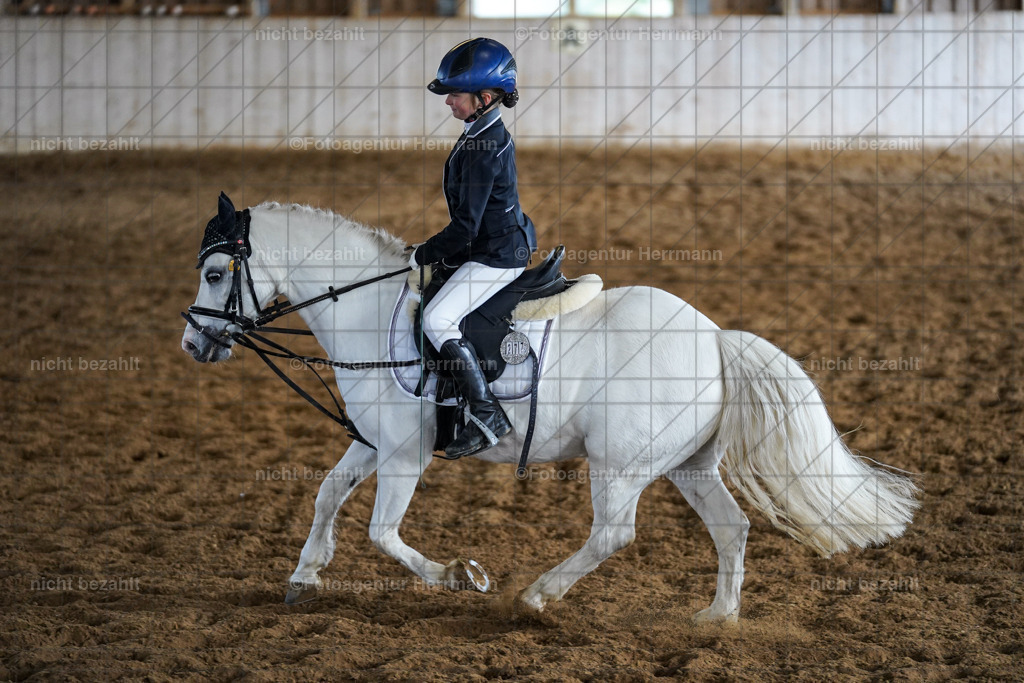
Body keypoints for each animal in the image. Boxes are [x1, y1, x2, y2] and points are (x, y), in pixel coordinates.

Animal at [181, 196, 919, 623]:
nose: (193, 343)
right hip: (686, 463)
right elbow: (327, 495)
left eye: (216, 273)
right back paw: (716, 618)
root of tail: (714, 336)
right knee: (731, 527)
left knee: (614, 533)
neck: (368, 308)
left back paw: (538, 597)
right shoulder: (370, 443)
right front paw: (304, 575)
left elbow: (383, 533)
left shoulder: (404, 455)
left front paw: (461, 576)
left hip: (620, 464)